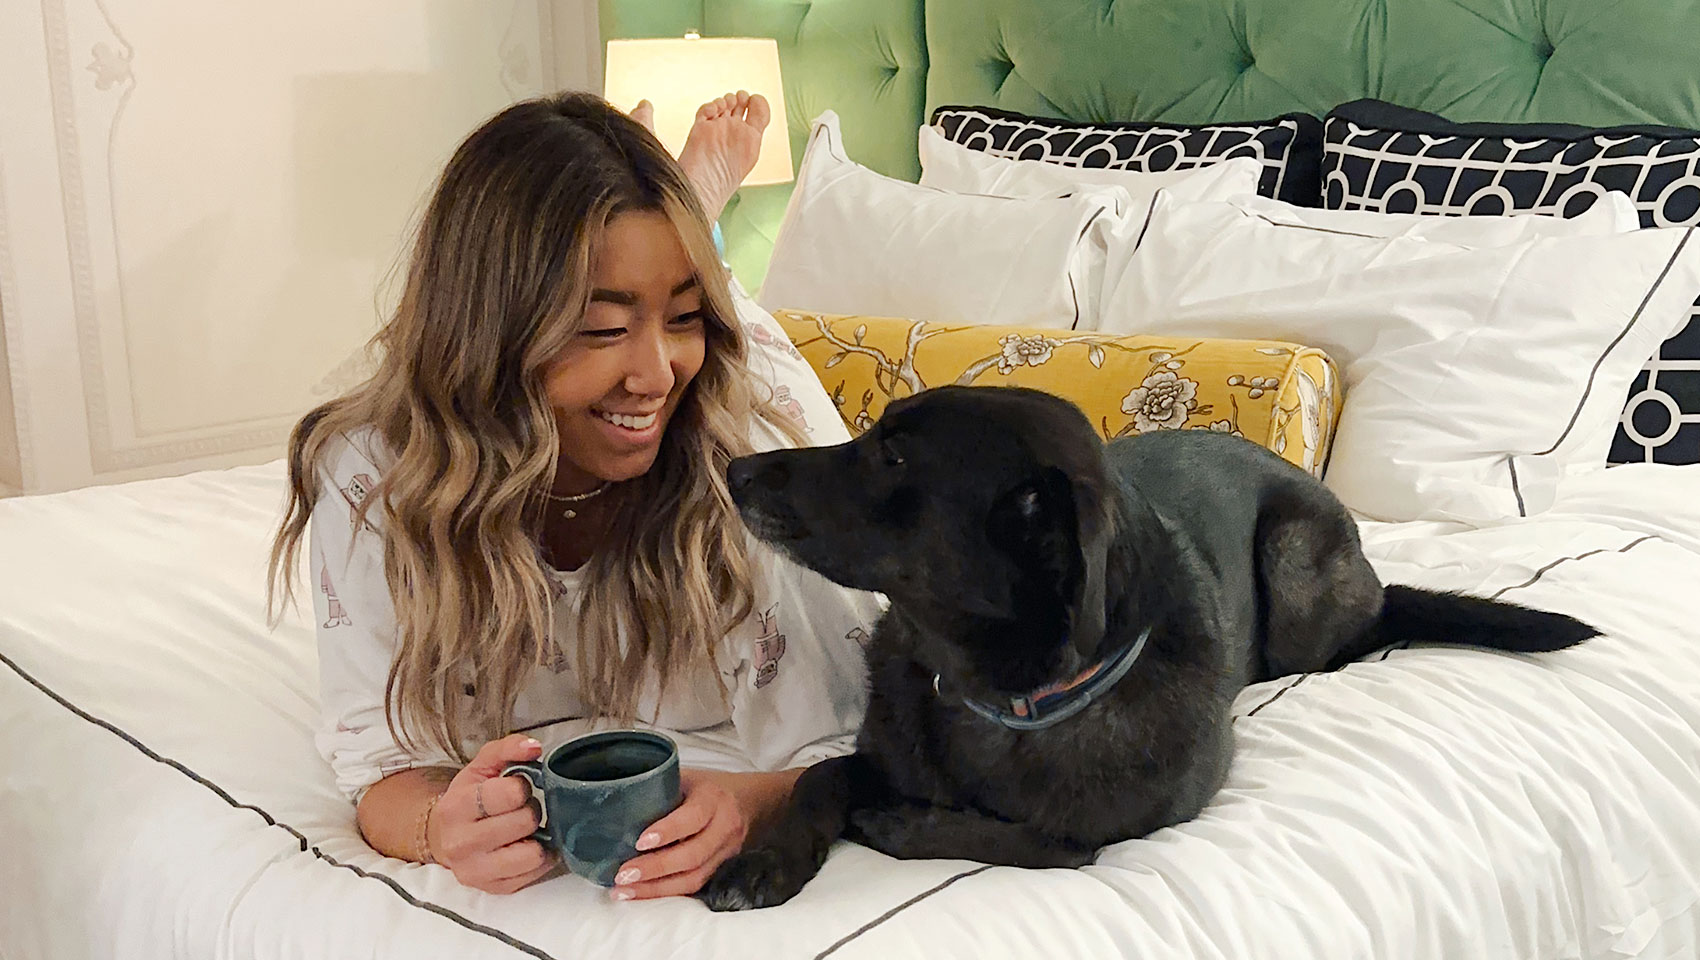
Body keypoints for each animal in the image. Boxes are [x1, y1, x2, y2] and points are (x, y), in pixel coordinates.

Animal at [693, 384, 1591, 903]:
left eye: (894, 455)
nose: (734, 471)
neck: (1002, 694)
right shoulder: (876, 754)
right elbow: (818, 777)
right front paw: (765, 860)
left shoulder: (1112, 836)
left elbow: (1042, 841)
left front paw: (899, 825)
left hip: (1298, 574)